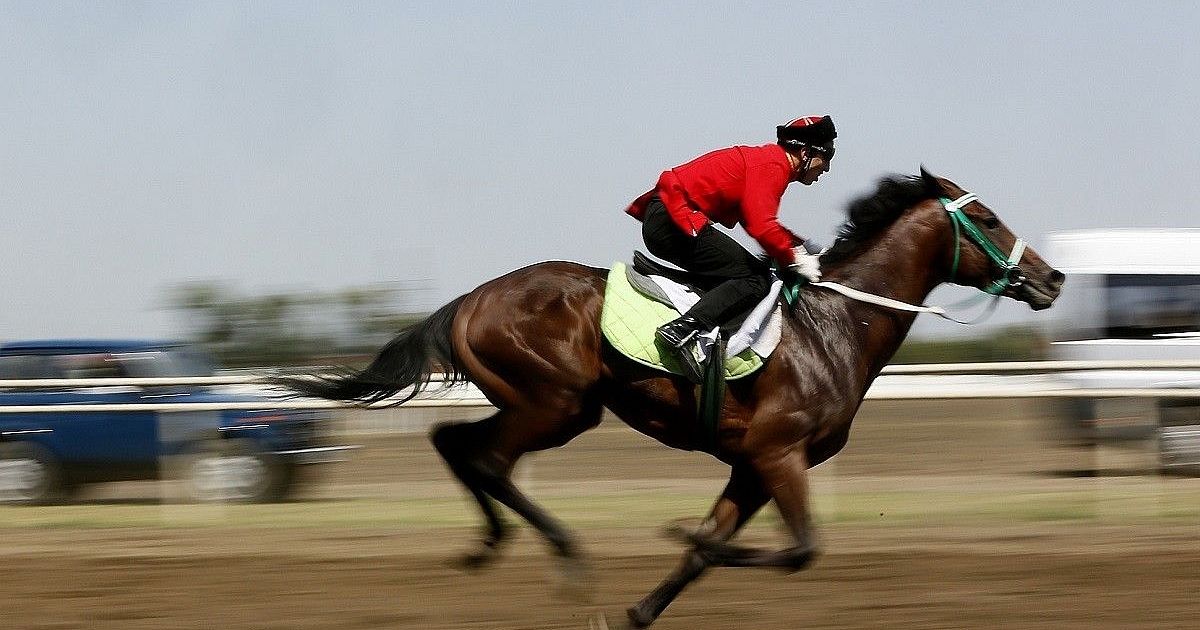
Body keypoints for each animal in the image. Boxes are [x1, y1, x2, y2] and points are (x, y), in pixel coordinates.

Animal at [283, 168, 1070, 628]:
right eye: (988, 219)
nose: (1052, 278)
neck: (836, 325)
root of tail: (470, 299)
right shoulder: (777, 454)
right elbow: (799, 550)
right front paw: (680, 536)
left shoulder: (752, 465)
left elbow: (711, 554)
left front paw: (647, 598)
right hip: (556, 404)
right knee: (487, 461)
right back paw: (563, 556)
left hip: (548, 406)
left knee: (453, 444)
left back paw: (489, 546)